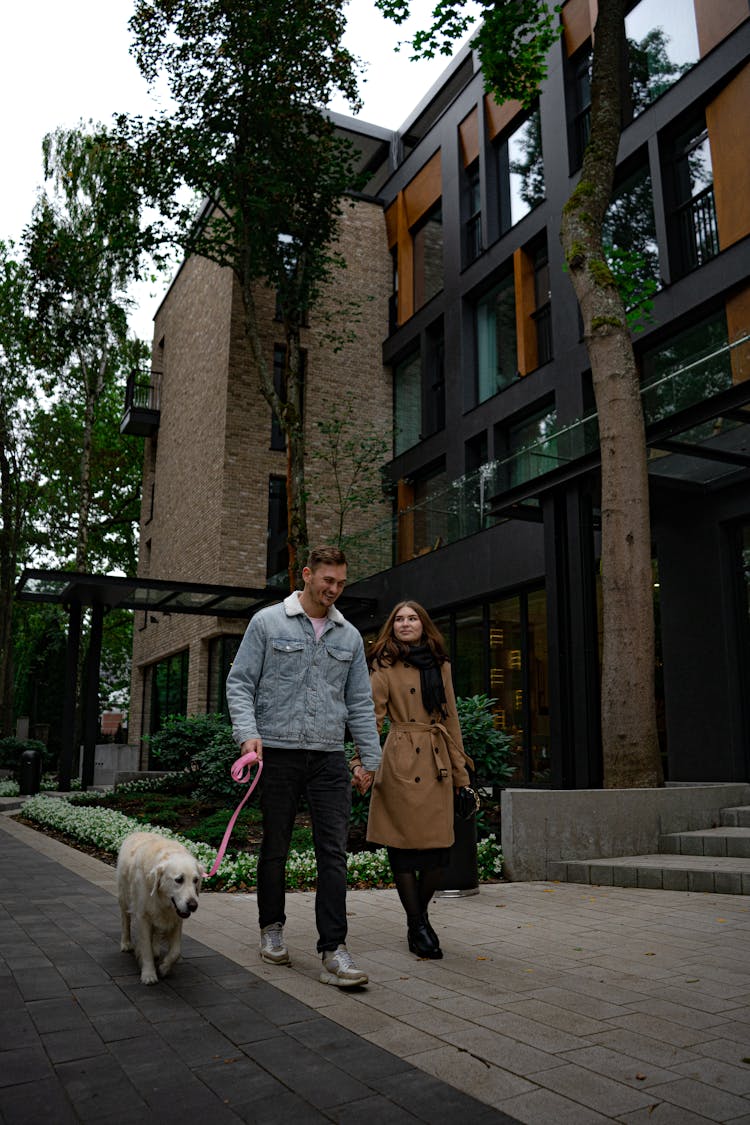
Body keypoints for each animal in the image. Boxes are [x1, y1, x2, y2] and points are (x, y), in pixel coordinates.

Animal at [115, 828, 203, 985]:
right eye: (179, 880)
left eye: (196, 880)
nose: (193, 905)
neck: (163, 901)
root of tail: (137, 831)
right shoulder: (143, 916)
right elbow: (146, 948)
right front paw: (149, 974)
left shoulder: (176, 918)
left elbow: (175, 951)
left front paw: (164, 968)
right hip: (124, 896)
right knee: (125, 919)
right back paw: (126, 943)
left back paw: (155, 949)